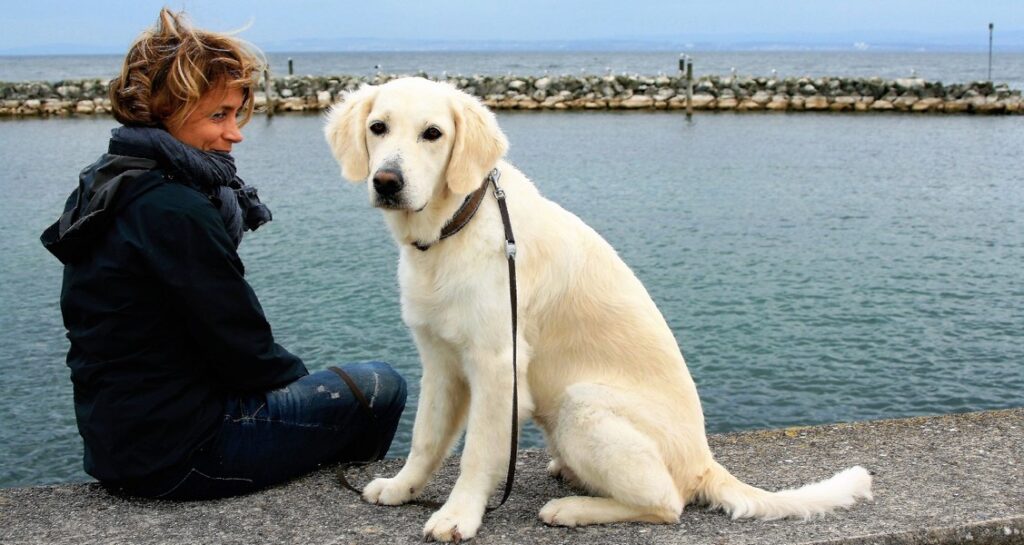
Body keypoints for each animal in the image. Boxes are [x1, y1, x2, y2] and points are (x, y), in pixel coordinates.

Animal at [325, 76, 872, 540]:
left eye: (433, 134)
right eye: (378, 127)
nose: (387, 181)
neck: (453, 227)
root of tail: (703, 461)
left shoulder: (499, 364)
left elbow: (477, 452)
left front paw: (458, 515)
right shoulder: (440, 361)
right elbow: (425, 437)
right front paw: (401, 487)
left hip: (582, 402)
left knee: (667, 503)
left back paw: (573, 509)